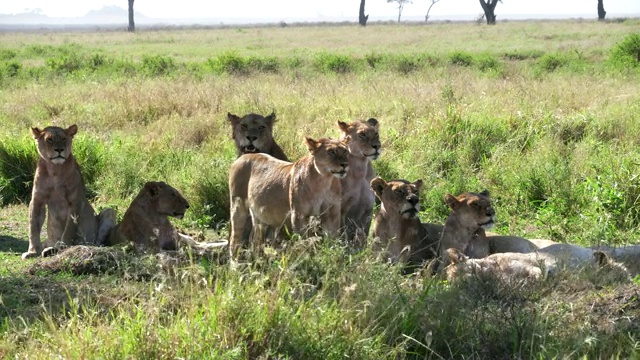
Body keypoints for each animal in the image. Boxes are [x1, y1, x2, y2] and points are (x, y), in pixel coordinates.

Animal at [23, 125, 115, 260]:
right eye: (49, 139)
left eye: (63, 139)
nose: (59, 149)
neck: (55, 170)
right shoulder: (37, 201)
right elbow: (33, 227)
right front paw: (33, 251)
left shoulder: (75, 201)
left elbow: (69, 229)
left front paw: (64, 246)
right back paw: (48, 250)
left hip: (109, 212)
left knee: (97, 241)